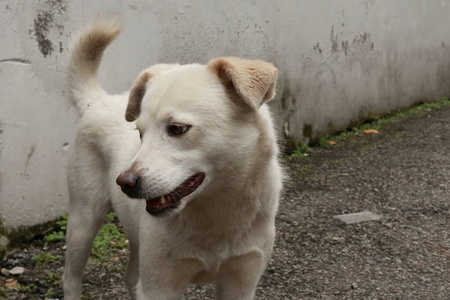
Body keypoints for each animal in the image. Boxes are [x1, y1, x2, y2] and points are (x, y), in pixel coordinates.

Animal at [63, 18, 282, 300]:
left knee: (130, 277)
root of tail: (99, 100)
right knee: (70, 278)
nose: (124, 182)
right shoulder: (160, 286)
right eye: (140, 133)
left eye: (177, 128)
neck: (214, 212)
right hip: (83, 222)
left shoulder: (241, 283)